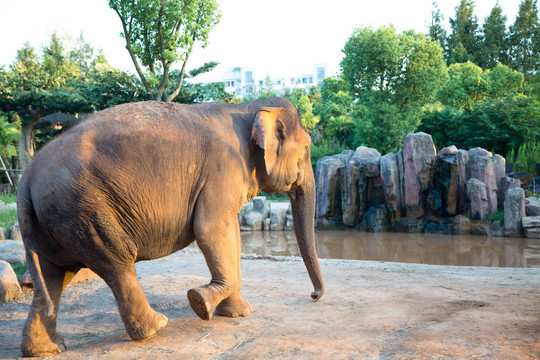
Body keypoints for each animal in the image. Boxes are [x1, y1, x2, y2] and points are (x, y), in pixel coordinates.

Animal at [19, 97, 324, 356]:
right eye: (307, 149)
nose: (313, 295)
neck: (246, 107)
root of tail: (26, 177)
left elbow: (231, 234)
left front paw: (237, 313)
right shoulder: (223, 170)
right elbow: (210, 230)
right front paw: (200, 302)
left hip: (55, 218)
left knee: (53, 275)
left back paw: (48, 348)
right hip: (84, 208)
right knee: (116, 260)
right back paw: (155, 327)